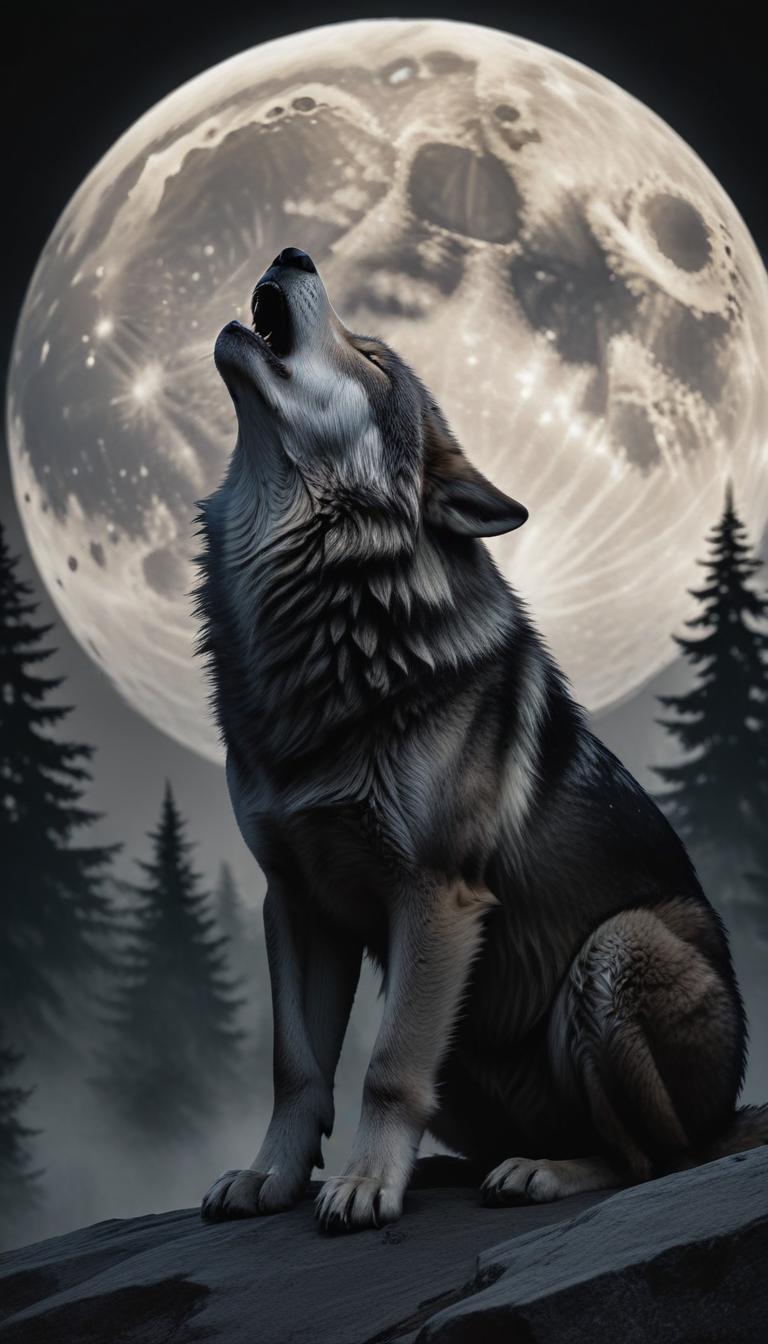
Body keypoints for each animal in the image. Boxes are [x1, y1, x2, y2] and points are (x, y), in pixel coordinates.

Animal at [195, 246, 767, 1233]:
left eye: (373, 358)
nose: (294, 253)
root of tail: (729, 1111)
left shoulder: (436, 895)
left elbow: (387, 1068)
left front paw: (361, 1186)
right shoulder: (293, 900)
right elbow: (297, 1068)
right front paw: (271, 1178)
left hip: (611, 953)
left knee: (650, 1161)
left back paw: (541, 1172)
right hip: (464, 1042)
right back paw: (449, 1169)